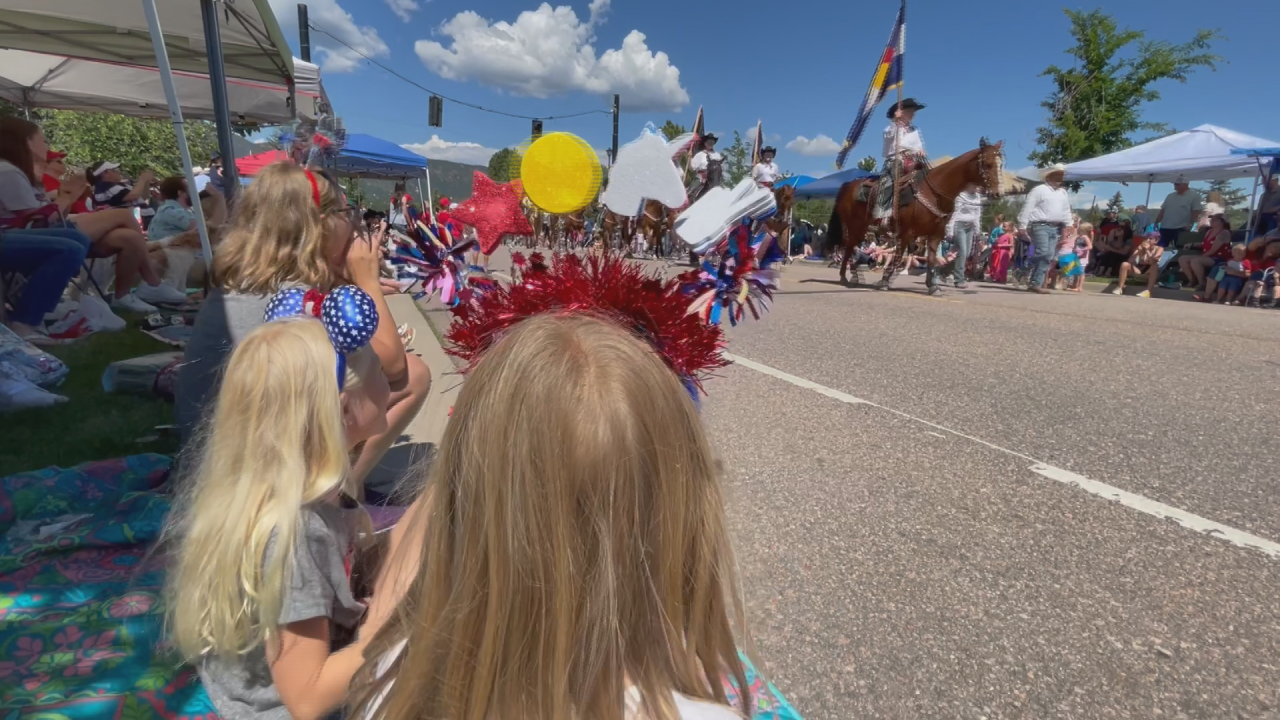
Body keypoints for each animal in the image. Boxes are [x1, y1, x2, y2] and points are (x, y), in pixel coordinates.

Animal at [834, 139, 1003, 293]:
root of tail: (847, 185)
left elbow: (931, 259)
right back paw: (846, 276)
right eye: (987, 163)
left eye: (1001, 164)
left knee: (851, 247)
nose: (998, 193)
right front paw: (884, 282)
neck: (934, 192)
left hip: (862, 227)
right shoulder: (905, 232)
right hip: (852, 225)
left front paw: (933, 286)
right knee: (848, 247)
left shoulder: (935, 234)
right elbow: (898, 257)